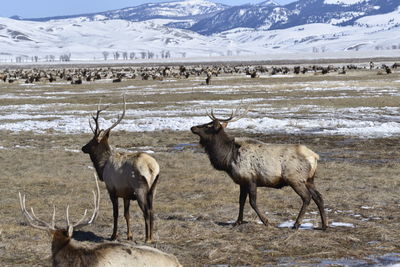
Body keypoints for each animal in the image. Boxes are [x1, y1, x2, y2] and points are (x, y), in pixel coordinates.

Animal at [81, 96, 159, 243]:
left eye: (92, 141)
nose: (83, 147)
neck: (102, 166)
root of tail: (152, 168)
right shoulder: (126, 193)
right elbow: (126, 214)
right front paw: (129, 236)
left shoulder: (112, 189)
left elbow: (116, 213)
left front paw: (113, 236)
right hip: (153, 189)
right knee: (152, 210)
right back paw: (151, 237)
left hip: (140, 188)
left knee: (146, 211)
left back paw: (147, 238)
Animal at [191, 108, 328, 231]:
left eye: (207, 126)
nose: (193, 127)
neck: (228, 159)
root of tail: (315, 157)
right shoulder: (242, 182)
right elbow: (241, 201)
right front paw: (237, 222)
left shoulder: (251, 180)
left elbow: (252, 202)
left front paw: (266, 221)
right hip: (309, 179)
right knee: (318, 197)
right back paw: (324, 225)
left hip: (295, 178)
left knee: (307, 197)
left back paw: (296, 224)